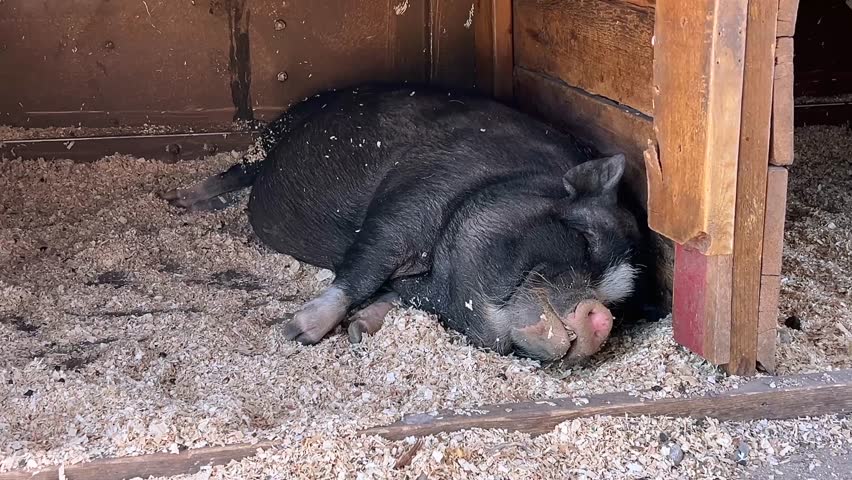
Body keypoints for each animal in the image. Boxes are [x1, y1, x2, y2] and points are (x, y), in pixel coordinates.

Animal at [161, 84, 664, 365]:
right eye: (583, 240)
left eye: (616, 303)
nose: (599, 317)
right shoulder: (409, 202)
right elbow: (363, 267)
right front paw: (296, 333)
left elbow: (391, 295)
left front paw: (360, 330)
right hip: (271, 136)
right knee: (237, 170)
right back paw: (177, 200)